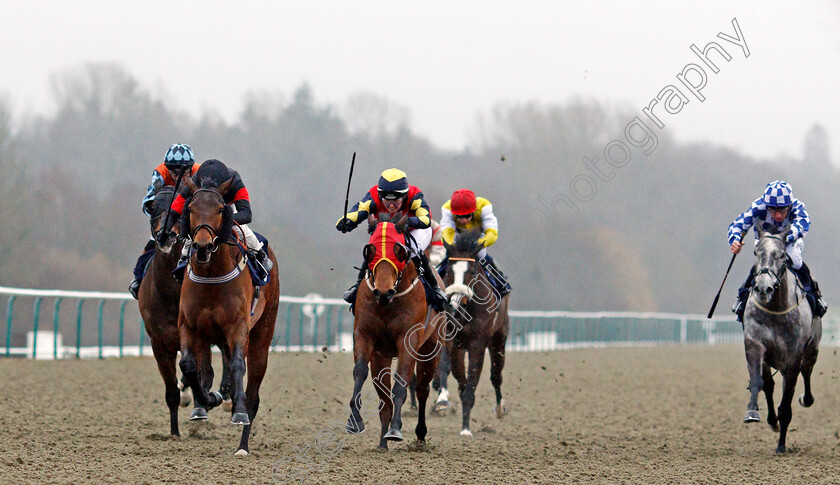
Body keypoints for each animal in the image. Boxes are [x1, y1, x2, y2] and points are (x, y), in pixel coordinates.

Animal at [137, 187, 231, 436]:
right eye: (154, 207)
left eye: (179, 209)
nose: (166, 236)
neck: (170, 292)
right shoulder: (159, 342)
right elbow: (172, 391)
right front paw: (174, 432)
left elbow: (201, 373)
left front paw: (203, 401)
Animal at [179, 177, 280, 454]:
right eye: (191, 208)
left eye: (219, 209)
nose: (202, 246)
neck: (212, 274)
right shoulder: (191, 326)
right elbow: (190, 365)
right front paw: (205, 401)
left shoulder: (238, 326)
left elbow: (236, 364)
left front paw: (239, 412)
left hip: (262, 333)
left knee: (253, 390)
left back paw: (242, 443)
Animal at [344, 216, 442, 450]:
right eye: (369, 251)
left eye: (400, 251)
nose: (383, 292)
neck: (389, 303)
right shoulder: (364, 336)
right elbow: (360, 372)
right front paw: (354, 420)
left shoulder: (408, 340)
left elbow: (401, 384)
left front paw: (396, 429)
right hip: (382, 356)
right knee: (384, 398)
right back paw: (382, 442)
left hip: (430, 350)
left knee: (422, 390)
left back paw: (420, 436)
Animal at [440, 229, 512, 436]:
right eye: (449, 271)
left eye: (471, 272)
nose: (454, 304)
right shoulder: (452, 341)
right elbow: (455, 375)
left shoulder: (477, 344)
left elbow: (472, 380)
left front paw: (465, 429)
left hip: (499, 338)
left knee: (496, 375)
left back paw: (500, 409)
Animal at [744, 229, 816, 452]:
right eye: (756, 253)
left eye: (782, 255)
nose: (763, 288)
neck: (776, 309)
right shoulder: (755, 344)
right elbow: (759, 382)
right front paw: (753, 412)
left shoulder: (793, 358)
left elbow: (786, 403)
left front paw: (781, 445)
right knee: (769, 385)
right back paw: (771, 421)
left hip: (812, 349)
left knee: (807, 370)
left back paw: (806, 399)